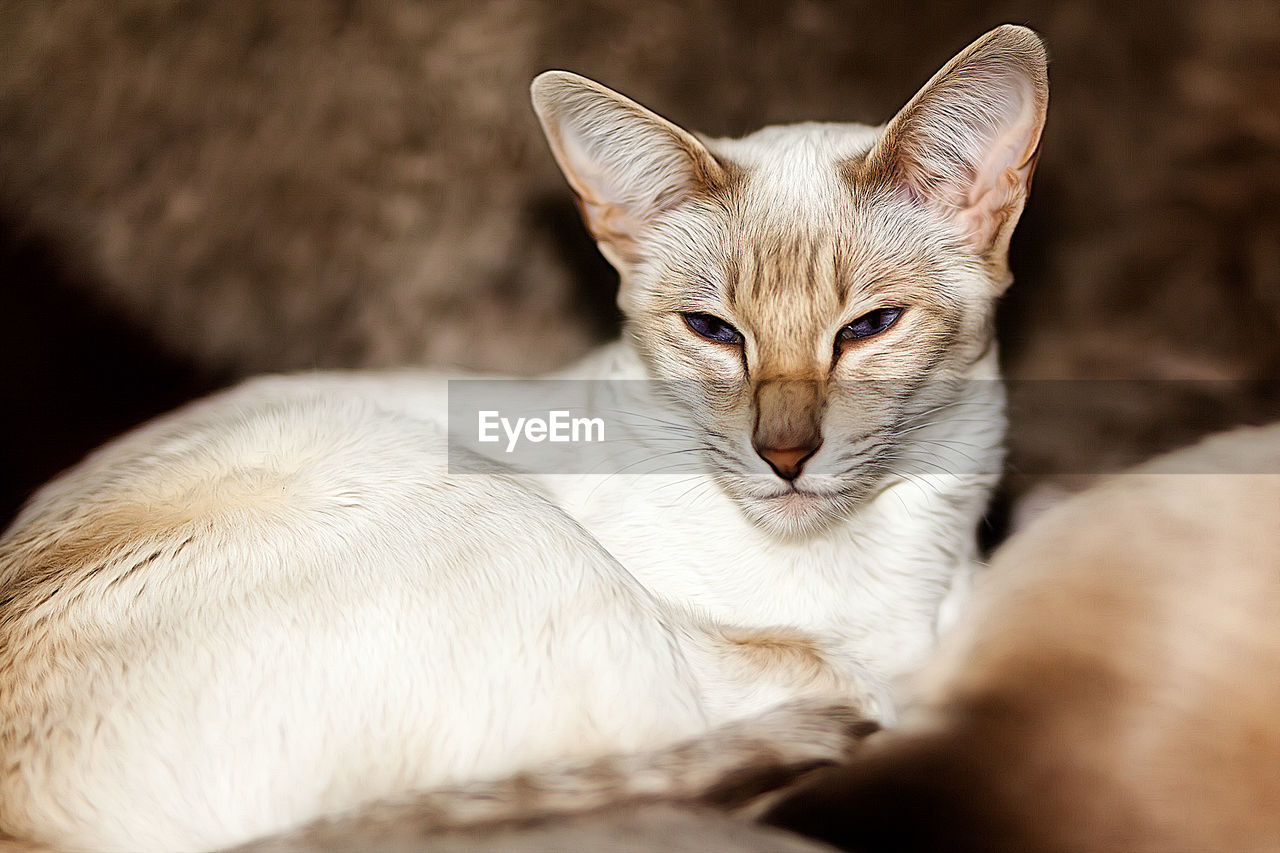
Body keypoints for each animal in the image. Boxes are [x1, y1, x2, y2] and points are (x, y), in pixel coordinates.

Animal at [0, 24, 1049, 850]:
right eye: (713, 332)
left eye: (868, 328)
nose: (783, 456)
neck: (872, 564)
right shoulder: (766, 661)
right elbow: (854, 681)